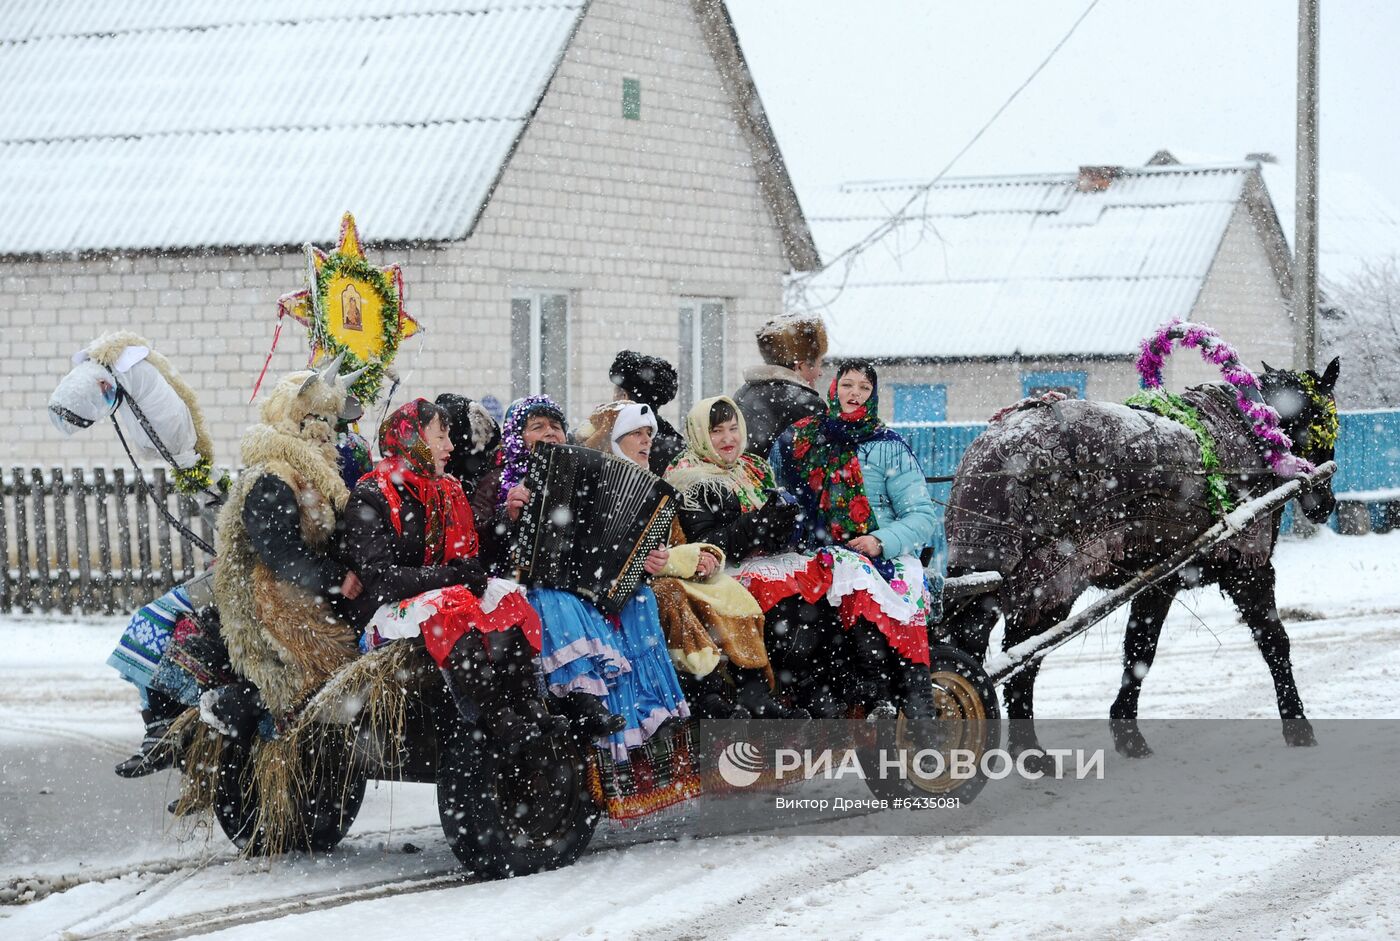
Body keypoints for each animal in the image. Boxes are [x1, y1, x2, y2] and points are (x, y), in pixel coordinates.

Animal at [946, 357, 1338, 761]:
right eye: (1326, 419)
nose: (1326, 505)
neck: (1248, 430)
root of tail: (989, 450)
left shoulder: (1158, 582)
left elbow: (1139, 652)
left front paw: (1126, 732)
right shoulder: (1248, 569)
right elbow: (1275, 642)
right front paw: (1298, 724)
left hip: (988, 577)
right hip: (1049, 582)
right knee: (1020, 660)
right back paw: (1029, 752)